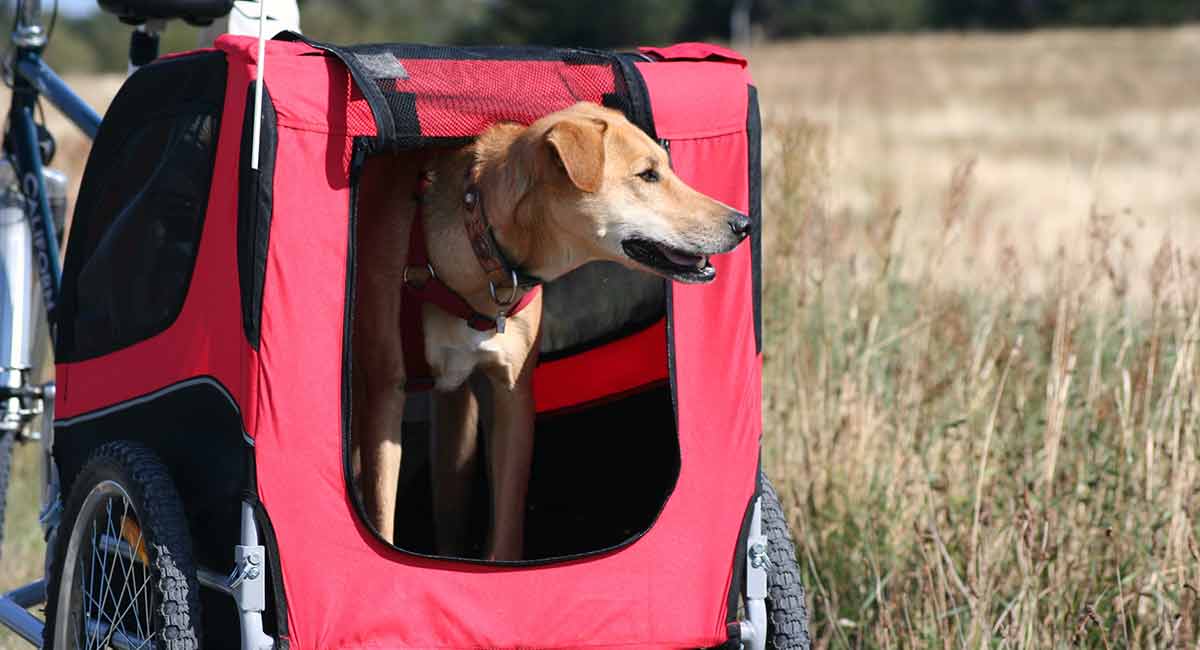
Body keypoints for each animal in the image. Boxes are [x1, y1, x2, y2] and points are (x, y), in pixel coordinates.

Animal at [350, 104, 748, 563]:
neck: (480, 244)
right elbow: (381, 517)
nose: (744, 223)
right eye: (647, 175)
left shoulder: (513, 397)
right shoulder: (385, 394)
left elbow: (506, 527)